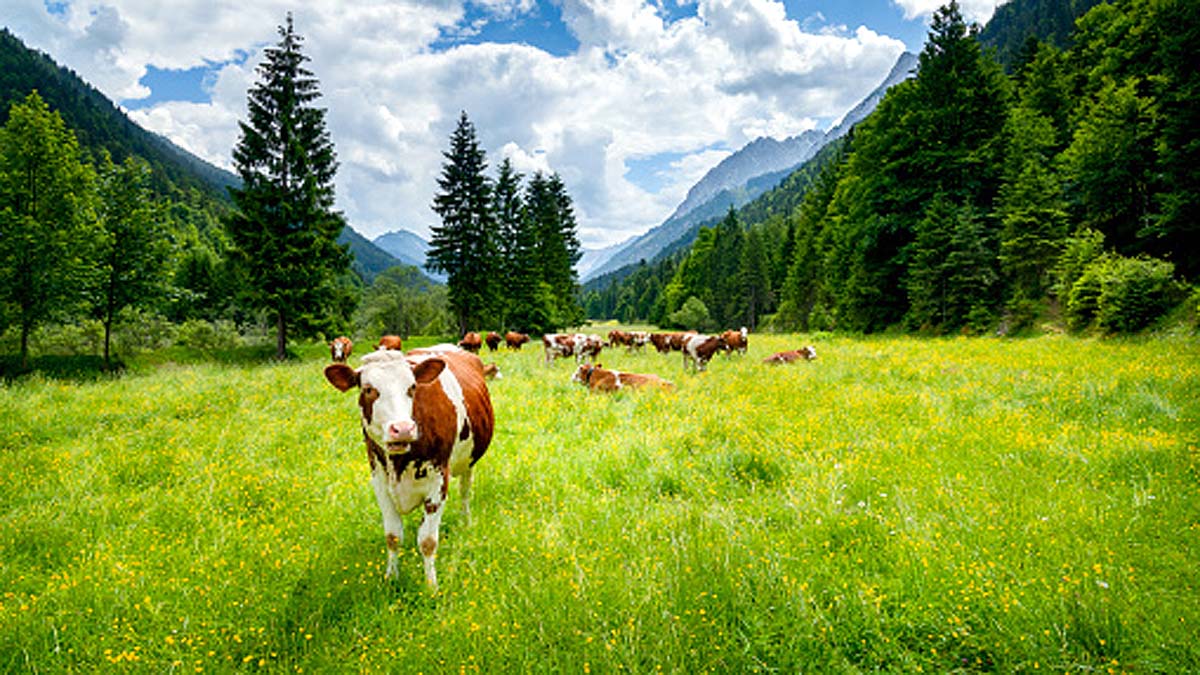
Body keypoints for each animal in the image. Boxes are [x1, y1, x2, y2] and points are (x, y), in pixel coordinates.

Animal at [324, 348, 494, 590]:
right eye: (368, 389)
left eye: (412, 387)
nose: (403, 428)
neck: (399, 462)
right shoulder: (379, 481)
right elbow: (393, 535)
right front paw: (391, 577)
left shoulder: (439, 481)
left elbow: (428, 541)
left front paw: (431, 586)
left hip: (469, 460)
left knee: (465, 492)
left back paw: (466, 521)